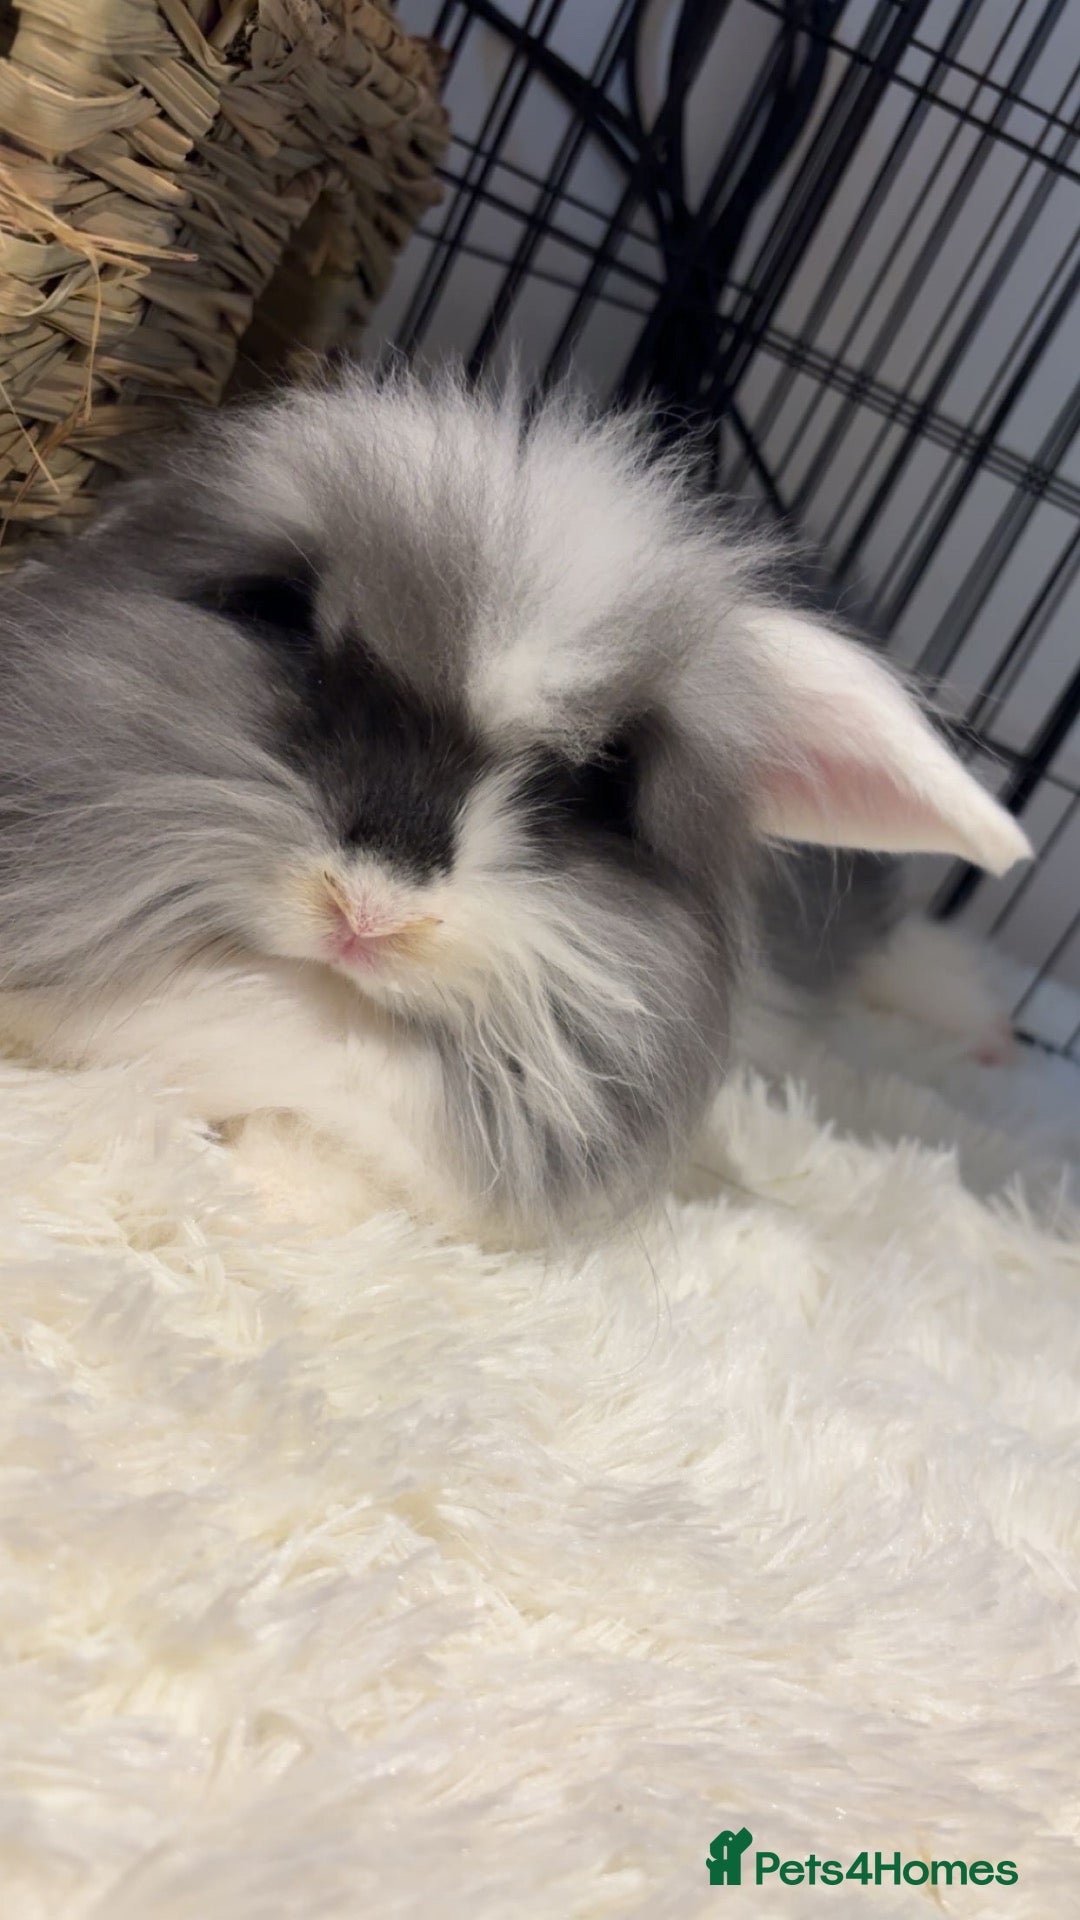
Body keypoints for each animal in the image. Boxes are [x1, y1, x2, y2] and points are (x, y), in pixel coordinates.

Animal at [0, 366, 1031, 1241]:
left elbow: (315, 1158)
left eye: (597, 779)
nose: (370, 908)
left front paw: (253, 1198)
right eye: (282, 615)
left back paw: (988, 1029)